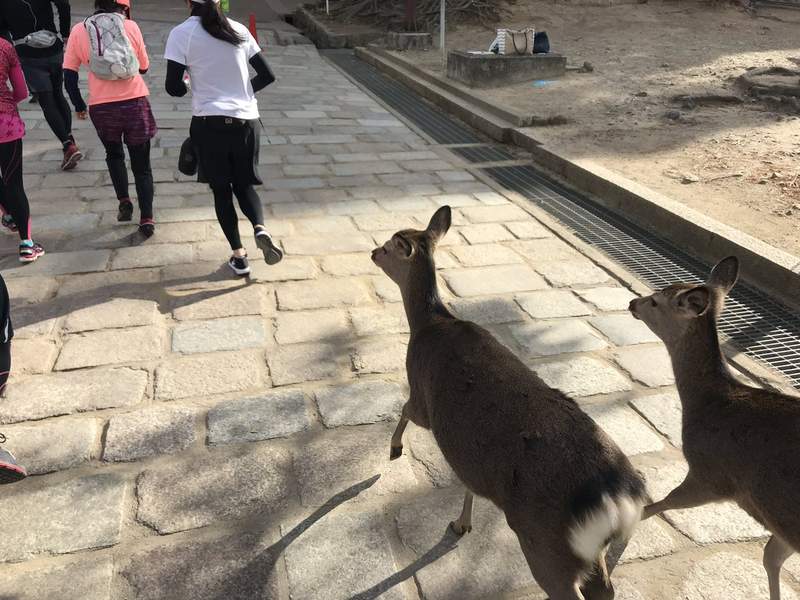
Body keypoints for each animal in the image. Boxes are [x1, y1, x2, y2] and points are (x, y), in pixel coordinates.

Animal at [371, 206, 647, 600]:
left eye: (390, 246)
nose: (372, 253)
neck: (428, 325)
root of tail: (620, 500)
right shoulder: (467, 455)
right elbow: (468, 482)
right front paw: (461, 524)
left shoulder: (422, 397)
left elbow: (405, 409)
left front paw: (394, 449)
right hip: (588, 552)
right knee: (606, 590)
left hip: (546, 544)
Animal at [629, 256, 800, 600]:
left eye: (656, 301)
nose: (632, 303)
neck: (707, 403)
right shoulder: (777, 520)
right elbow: (770, 556)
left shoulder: (713, 475)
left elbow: (660, 504)